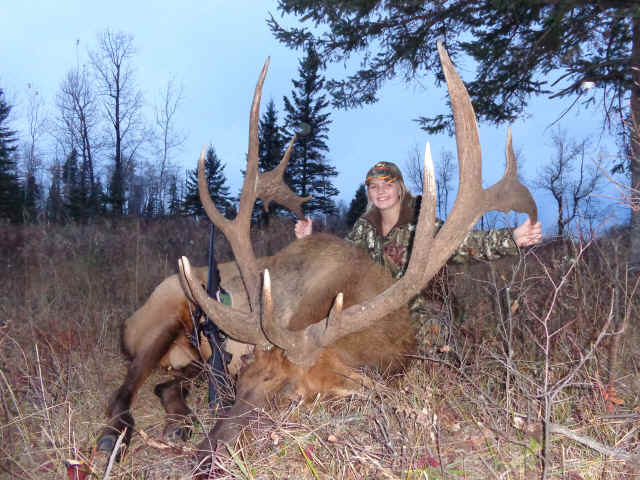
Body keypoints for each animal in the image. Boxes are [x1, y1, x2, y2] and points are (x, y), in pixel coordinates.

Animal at [96, 42, 537, 478]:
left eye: (292, 398)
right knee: (124, 391)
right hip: (162, 316)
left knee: (164, 384)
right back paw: (116, 436)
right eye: (241, 383)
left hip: (189, 360)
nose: (207, 461)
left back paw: (178, 423)